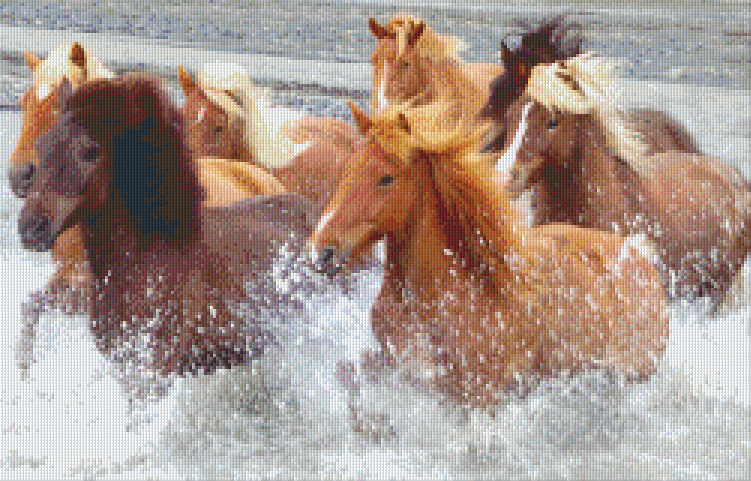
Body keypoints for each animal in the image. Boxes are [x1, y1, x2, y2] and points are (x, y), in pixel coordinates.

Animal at [309, 100, 669, 408]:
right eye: (346, 169)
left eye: (386, 178)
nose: (321, 251)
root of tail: (638, 255)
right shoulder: (399, 366)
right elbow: (349, 376)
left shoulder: (475, 396)